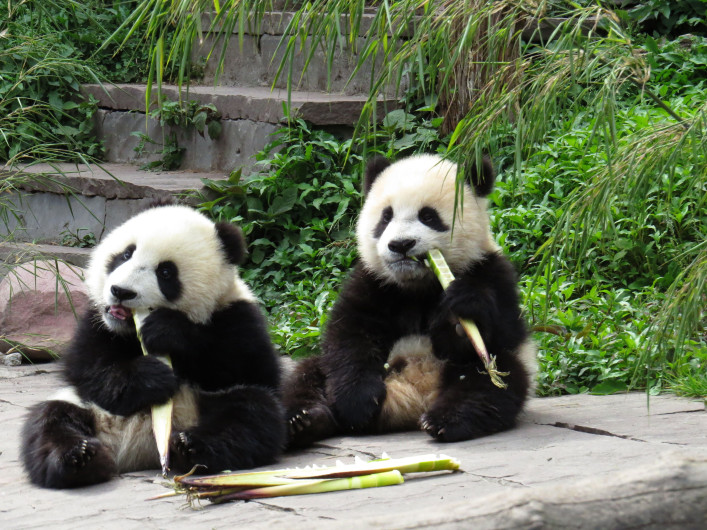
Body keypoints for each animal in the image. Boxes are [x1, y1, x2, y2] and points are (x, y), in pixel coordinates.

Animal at [21, 203, 285, 488]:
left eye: (166, 272)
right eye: (125, 254)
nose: (121, 291)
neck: (129, 330)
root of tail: (138, 451)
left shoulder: (237, 314)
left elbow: (249, 367)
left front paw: (167, 330)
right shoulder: (96, 322)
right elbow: (88, 366)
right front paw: (152, 377)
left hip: (202, 409)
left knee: (251, 413)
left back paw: (190, 447)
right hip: (88, 407)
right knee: (50, 420)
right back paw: (79, 458)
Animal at [284, 154, 535, 447]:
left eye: (428, 216)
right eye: (386, 217)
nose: (401, 245)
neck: (418, 284)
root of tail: (411, 399)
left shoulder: (491, 270)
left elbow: (504, 332)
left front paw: (462, 312)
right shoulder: (373, 281)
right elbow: (350, 336)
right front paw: (356, 404)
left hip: (490, 371)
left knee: (492, 381)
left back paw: (444, 421)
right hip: (327, 371)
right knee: (307, 375)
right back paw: (305, 421)